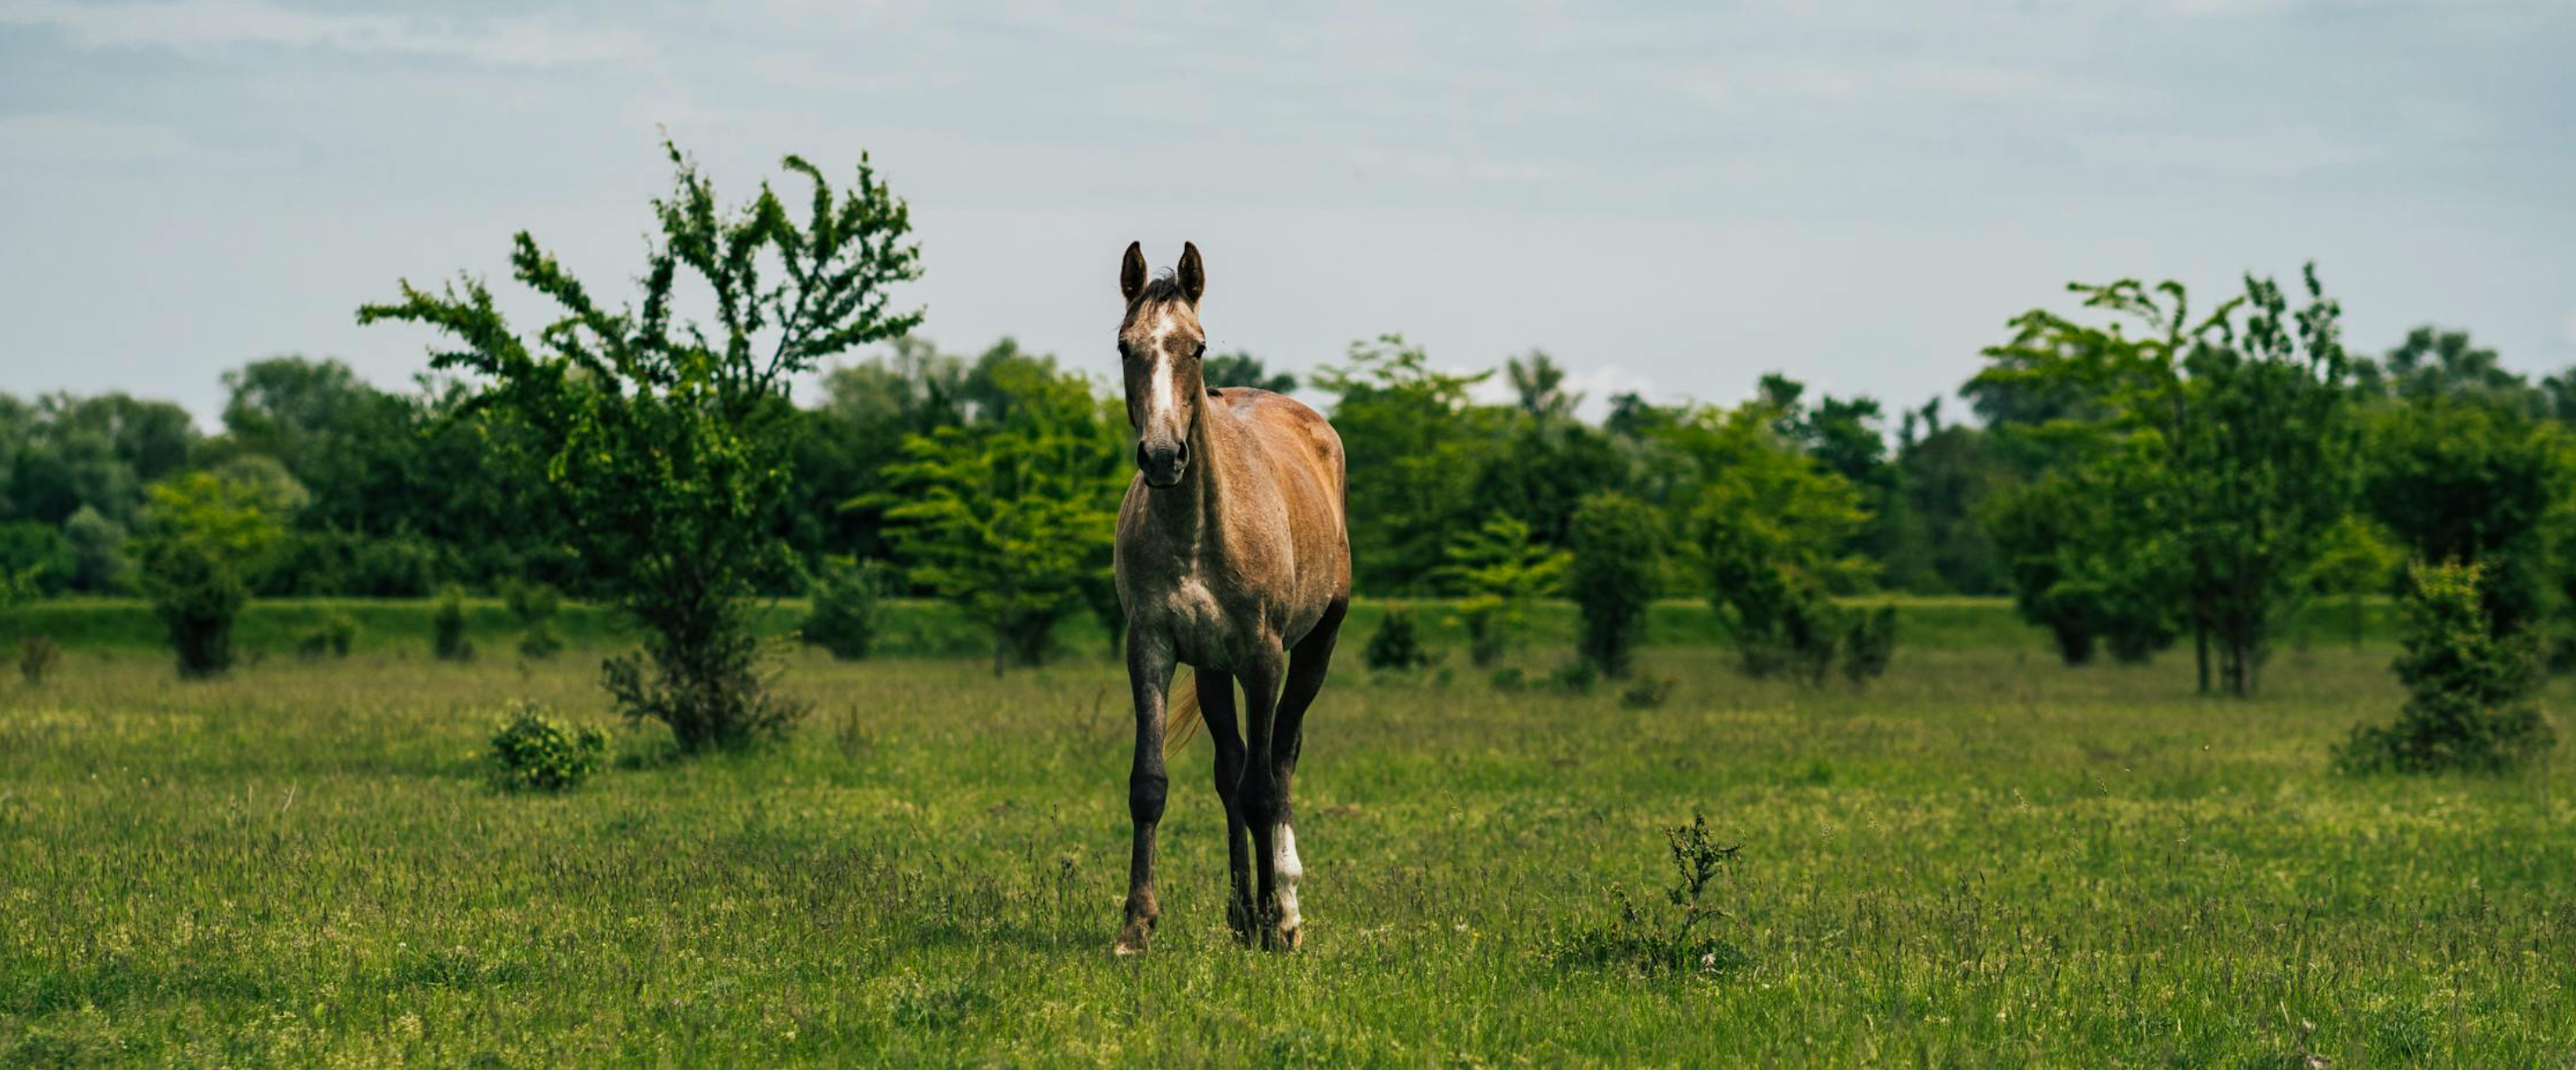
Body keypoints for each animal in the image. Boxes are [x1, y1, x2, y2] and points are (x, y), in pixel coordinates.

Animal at [1109, 241, 1352, 954]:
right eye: (1125, 346)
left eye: (1196, 346)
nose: (1163, 456)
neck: (1196, 528)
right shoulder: (1152, 647)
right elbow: (1152, 782)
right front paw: (1137, 924)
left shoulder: (1264, 658)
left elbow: (1264, 789)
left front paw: (1278, 920)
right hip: (1214, 668)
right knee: (1231, 770)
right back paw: (1243, 911)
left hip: (1316, 644)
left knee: (1280, 757)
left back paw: (1284, 906)